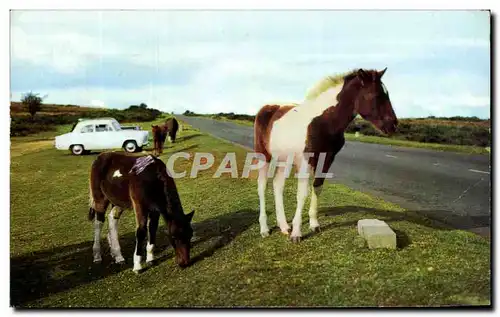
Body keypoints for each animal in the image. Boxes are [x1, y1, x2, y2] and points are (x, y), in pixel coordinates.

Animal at [254, 68, 398, 242]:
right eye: (375, 95)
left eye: (387, 94)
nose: (393, 125)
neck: (323, 122)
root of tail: (267, 108)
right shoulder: (306, 159)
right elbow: (302, 193)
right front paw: (297, 233)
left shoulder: (327, 158)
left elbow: (317, 187)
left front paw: (314, 224)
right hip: (264, 155)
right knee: (262, 185)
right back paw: (264, 229)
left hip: (284, 159)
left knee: (277, 184)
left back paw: (284, 227)